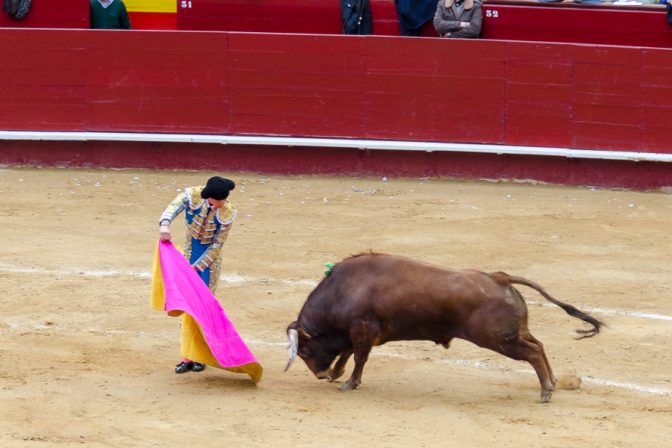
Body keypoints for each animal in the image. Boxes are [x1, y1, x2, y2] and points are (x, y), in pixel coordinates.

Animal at [284, 252, 604, 402]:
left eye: (305, 351)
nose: (321, 375)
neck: (342, 291)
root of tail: (498, 277)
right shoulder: (358, 334)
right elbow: (348, 354)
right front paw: (338, 375)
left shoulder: (362, 331)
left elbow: (357, 358)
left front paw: (348, 382)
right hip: (513, 333)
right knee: (539, 345)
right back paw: (553, 382)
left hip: (498, 338)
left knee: (533, 352)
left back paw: (546, 391)